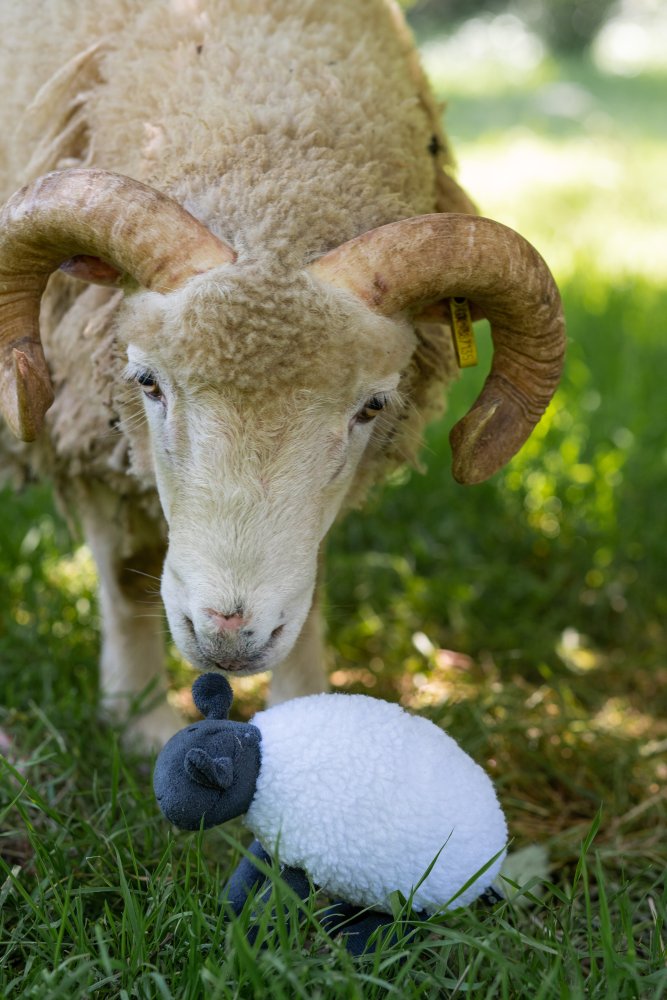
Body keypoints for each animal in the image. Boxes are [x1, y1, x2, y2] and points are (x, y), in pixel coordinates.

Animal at [0, 1, 565, 745]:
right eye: (147, 382)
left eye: (372, 407)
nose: (230, 635)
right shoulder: (84, 424)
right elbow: (124, 574)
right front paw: (140, 721)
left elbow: (313, 577)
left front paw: (305, 705)